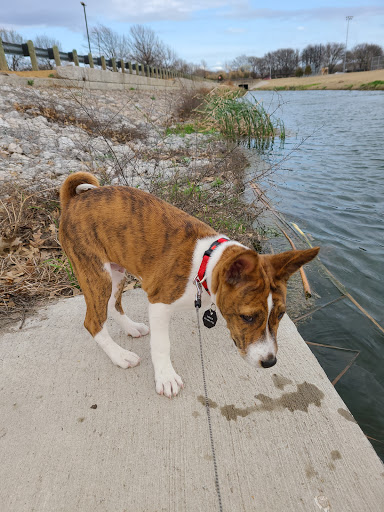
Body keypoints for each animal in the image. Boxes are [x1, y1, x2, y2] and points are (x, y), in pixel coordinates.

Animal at [58, 174, 320, 398]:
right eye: (247, 317)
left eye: (281, 314)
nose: (269, 362)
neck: (205, 264)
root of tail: (74, 200)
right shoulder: (159, 303)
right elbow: (162, 345)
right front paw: (166, 377)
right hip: (95, 273)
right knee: (93, 321)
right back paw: (119, 356)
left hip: (115, 272)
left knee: (112, 305)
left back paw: (131, 328)